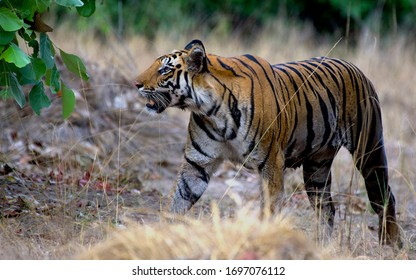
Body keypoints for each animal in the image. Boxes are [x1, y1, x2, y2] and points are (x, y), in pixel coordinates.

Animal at [135, 38, 402, 246]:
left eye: (165, 70)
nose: (136, 84)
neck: (211, 111)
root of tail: (353, 66)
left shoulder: (271, 163)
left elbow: (268, 210)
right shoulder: (196, 163)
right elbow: (179, 199)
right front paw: (162, 234)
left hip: (369, 150)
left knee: (384, 197)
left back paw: (390, 244)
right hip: (317, 168)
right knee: (326, 208)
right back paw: (322, 246)